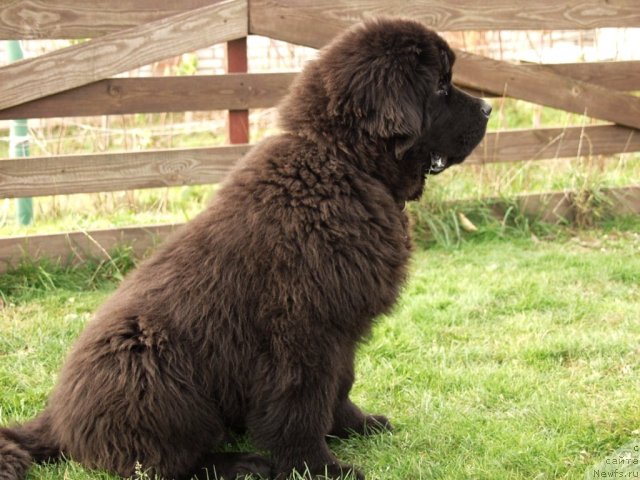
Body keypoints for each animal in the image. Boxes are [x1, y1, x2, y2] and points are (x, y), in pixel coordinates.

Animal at [1, 16, 490, 478]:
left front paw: (356, 424)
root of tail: (57, 420)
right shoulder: (301, 329)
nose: (488, 107)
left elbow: (341, 383)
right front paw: (317, 466)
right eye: (441, 85)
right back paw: (240, 464)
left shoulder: (342, 328)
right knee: (159, 461)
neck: (343, 163)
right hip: (149, 367)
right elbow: (303, 403)